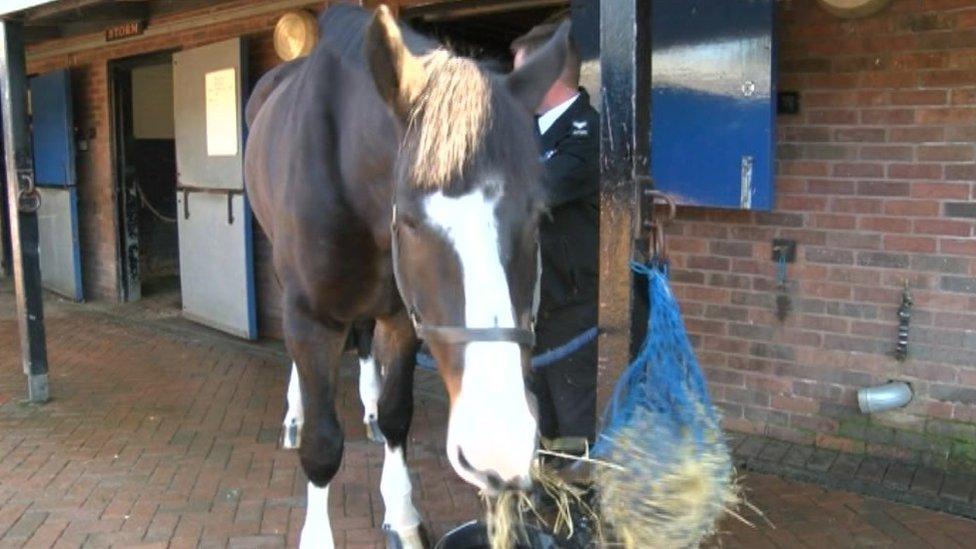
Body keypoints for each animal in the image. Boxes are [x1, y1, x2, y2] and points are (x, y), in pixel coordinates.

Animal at [242, 5, 572, 548]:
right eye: (412, 220)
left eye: (539, 213)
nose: (497, 447)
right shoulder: (311, 316)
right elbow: (322, 442)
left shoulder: (401, 316)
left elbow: (399, 415)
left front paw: (401, 516)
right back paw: (294, 414)